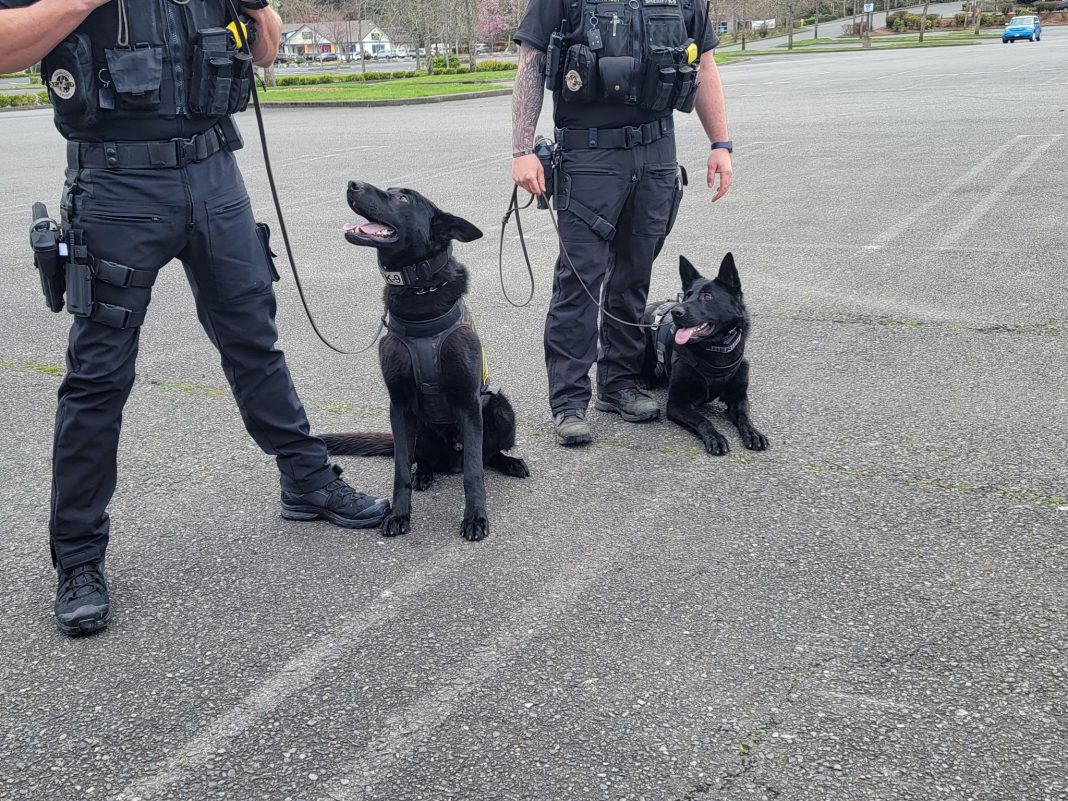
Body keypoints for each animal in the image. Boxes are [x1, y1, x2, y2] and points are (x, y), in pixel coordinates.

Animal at [320, 184, 529, 542]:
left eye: (403, 198)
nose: (352, 185)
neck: (419, 291)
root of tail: (449, 462)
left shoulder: (469, 404)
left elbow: (474, 472)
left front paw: (475, 518)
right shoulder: (400, 406)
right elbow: (400, 469)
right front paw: (399, 514)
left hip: (501, 409)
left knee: (486, 456)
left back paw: (509, 463)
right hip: (419, 426)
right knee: (423, 460)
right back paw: (425, 473)